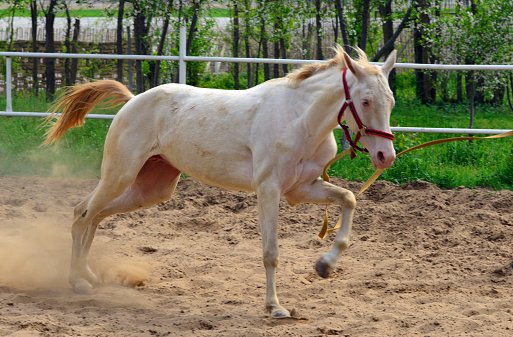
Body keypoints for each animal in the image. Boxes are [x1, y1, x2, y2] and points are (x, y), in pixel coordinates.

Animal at [44, 46, 396, 316]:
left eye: (390, 101)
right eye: (365, 101)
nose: (386, 157)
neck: (300, 120)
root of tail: (132, 101)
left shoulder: (302, 189)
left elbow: (349, 199)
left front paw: (324, 265)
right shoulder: (268, 189)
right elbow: (271, 252)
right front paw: (275, 307)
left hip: (149, 189)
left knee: (93, 213)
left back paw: (88, 273)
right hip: (120, 175)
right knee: (83, 213)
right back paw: (78, 281)